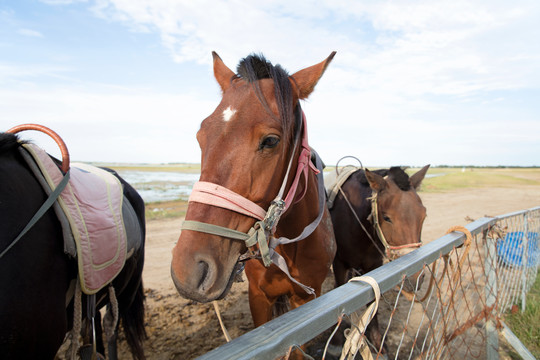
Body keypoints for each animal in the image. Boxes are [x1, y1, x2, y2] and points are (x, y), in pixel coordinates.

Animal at [324, 165, 430, 354]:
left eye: (423, 215)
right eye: (387, 217)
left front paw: (378, 341)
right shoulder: (339, 264)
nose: (415, 277)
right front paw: (335, 341)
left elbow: (373, 303)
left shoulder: (374, 266)